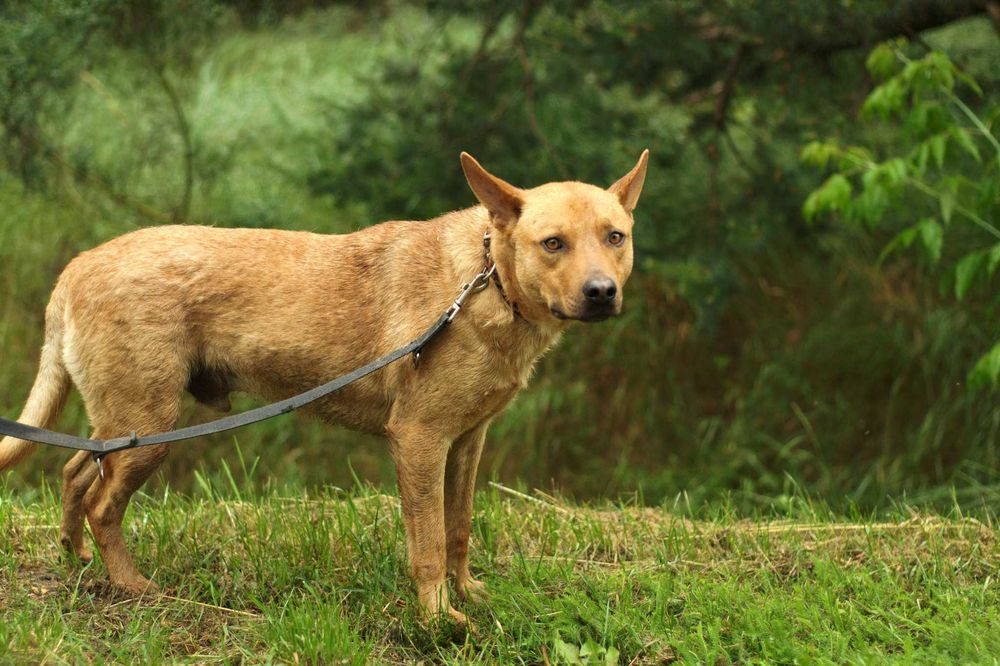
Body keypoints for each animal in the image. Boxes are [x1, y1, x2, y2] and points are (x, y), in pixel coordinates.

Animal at [0, 149, 648, 616]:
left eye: (614, 237)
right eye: (553, 243)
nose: (600, 294)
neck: (483, 282)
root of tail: (75, 269)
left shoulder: (467, 442)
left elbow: (459, 528)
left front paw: (469, 595)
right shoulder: (419, 441)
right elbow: (429, 544)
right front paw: (439, 618)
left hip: (121, 425)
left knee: (73, 475)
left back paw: (77, 558)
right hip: (147, 429)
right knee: (102, 504)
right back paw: (133, 586)